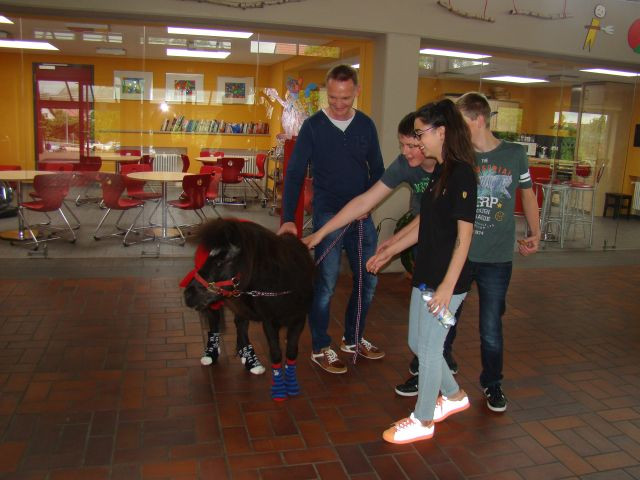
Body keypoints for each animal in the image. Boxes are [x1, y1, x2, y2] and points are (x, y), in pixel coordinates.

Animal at [181, 220, 314, 402]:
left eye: (221, 261)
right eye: (209, 257)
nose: (188, 294)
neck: (285, 285)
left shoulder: (299, 319)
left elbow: (292, 352)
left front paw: (291, 385)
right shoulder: (269, 322)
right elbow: (276, 353)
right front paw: (279, 390)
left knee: (241, 323)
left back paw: (249, 358)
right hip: (216, 301)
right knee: (215, 322)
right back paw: (211, 353)